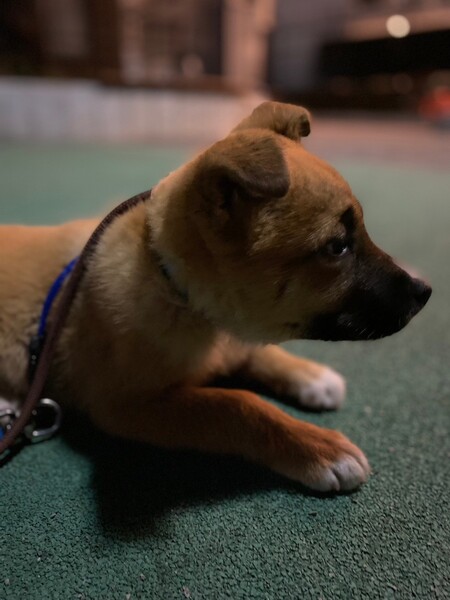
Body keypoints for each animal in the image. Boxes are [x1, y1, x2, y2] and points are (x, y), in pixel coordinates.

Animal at [0, 102, 431, 492]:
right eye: (337, 247)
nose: (425, 293)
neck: (177, 293)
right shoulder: (127, 404)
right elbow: (235, 404)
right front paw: (319, 447)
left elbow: (260, 352)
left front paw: (311, 375)